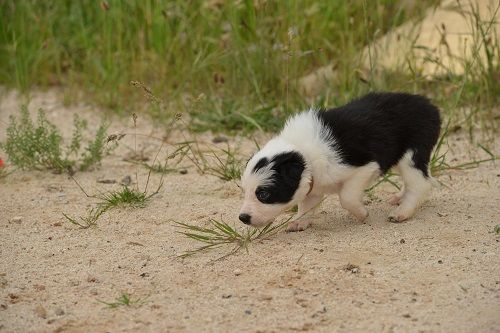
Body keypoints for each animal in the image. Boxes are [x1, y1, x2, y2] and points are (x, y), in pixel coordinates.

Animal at [240, 91, 440, 231]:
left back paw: (402, 212)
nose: (242, 218)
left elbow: (347, 197)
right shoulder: (313, 184)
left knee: (421, 184)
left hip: (411, 155)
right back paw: (399, 198)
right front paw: (300, 221)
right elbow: (306, 205)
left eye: (263, 194)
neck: (304, 152)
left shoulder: (365, 166)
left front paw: (362, 214)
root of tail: (430, 106)